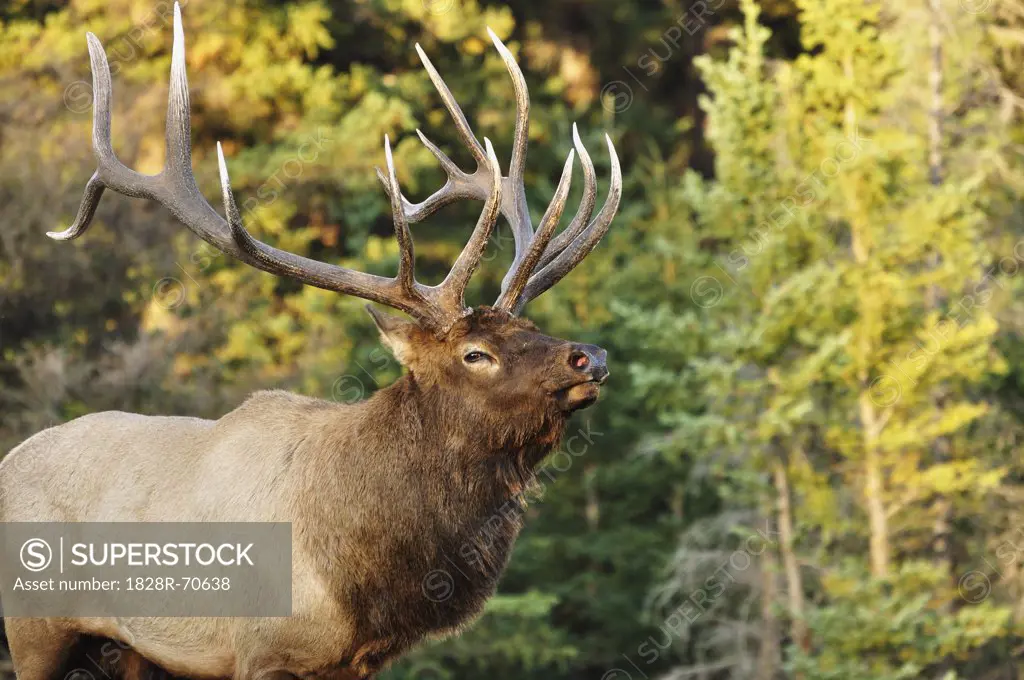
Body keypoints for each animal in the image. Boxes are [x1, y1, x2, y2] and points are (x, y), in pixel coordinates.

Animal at [0, 5, 622, 680]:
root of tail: (9, 461)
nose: (590, 356)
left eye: (530, 330)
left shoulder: (358, 662)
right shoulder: (262, 649)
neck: (358, 580)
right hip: (34, 626)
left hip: (131, 650)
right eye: (474, 353)